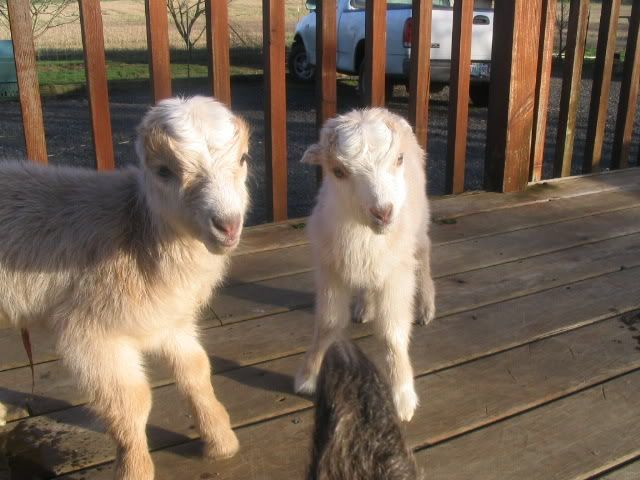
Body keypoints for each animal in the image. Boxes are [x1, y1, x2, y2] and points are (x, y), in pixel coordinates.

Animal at [0, 96, 250, 479]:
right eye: (163, 171)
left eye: (243, 159)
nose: (227, 225)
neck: (135, 231)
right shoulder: (91, 333)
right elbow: (131, 402)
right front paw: (134, 468)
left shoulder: (170, 321)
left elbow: (196, 372)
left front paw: (220, 441)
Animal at [295, 108, 435, 421]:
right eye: (338, 171)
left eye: (398, 159)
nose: (383, 212)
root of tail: (375, 109)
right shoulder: (330, 270)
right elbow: (328, 324)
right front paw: (308, 376)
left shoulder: (397, 275)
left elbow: (392, 334)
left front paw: (403, 398)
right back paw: (365, 306)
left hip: (418, 226)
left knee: (424, 253)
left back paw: (426, 307)